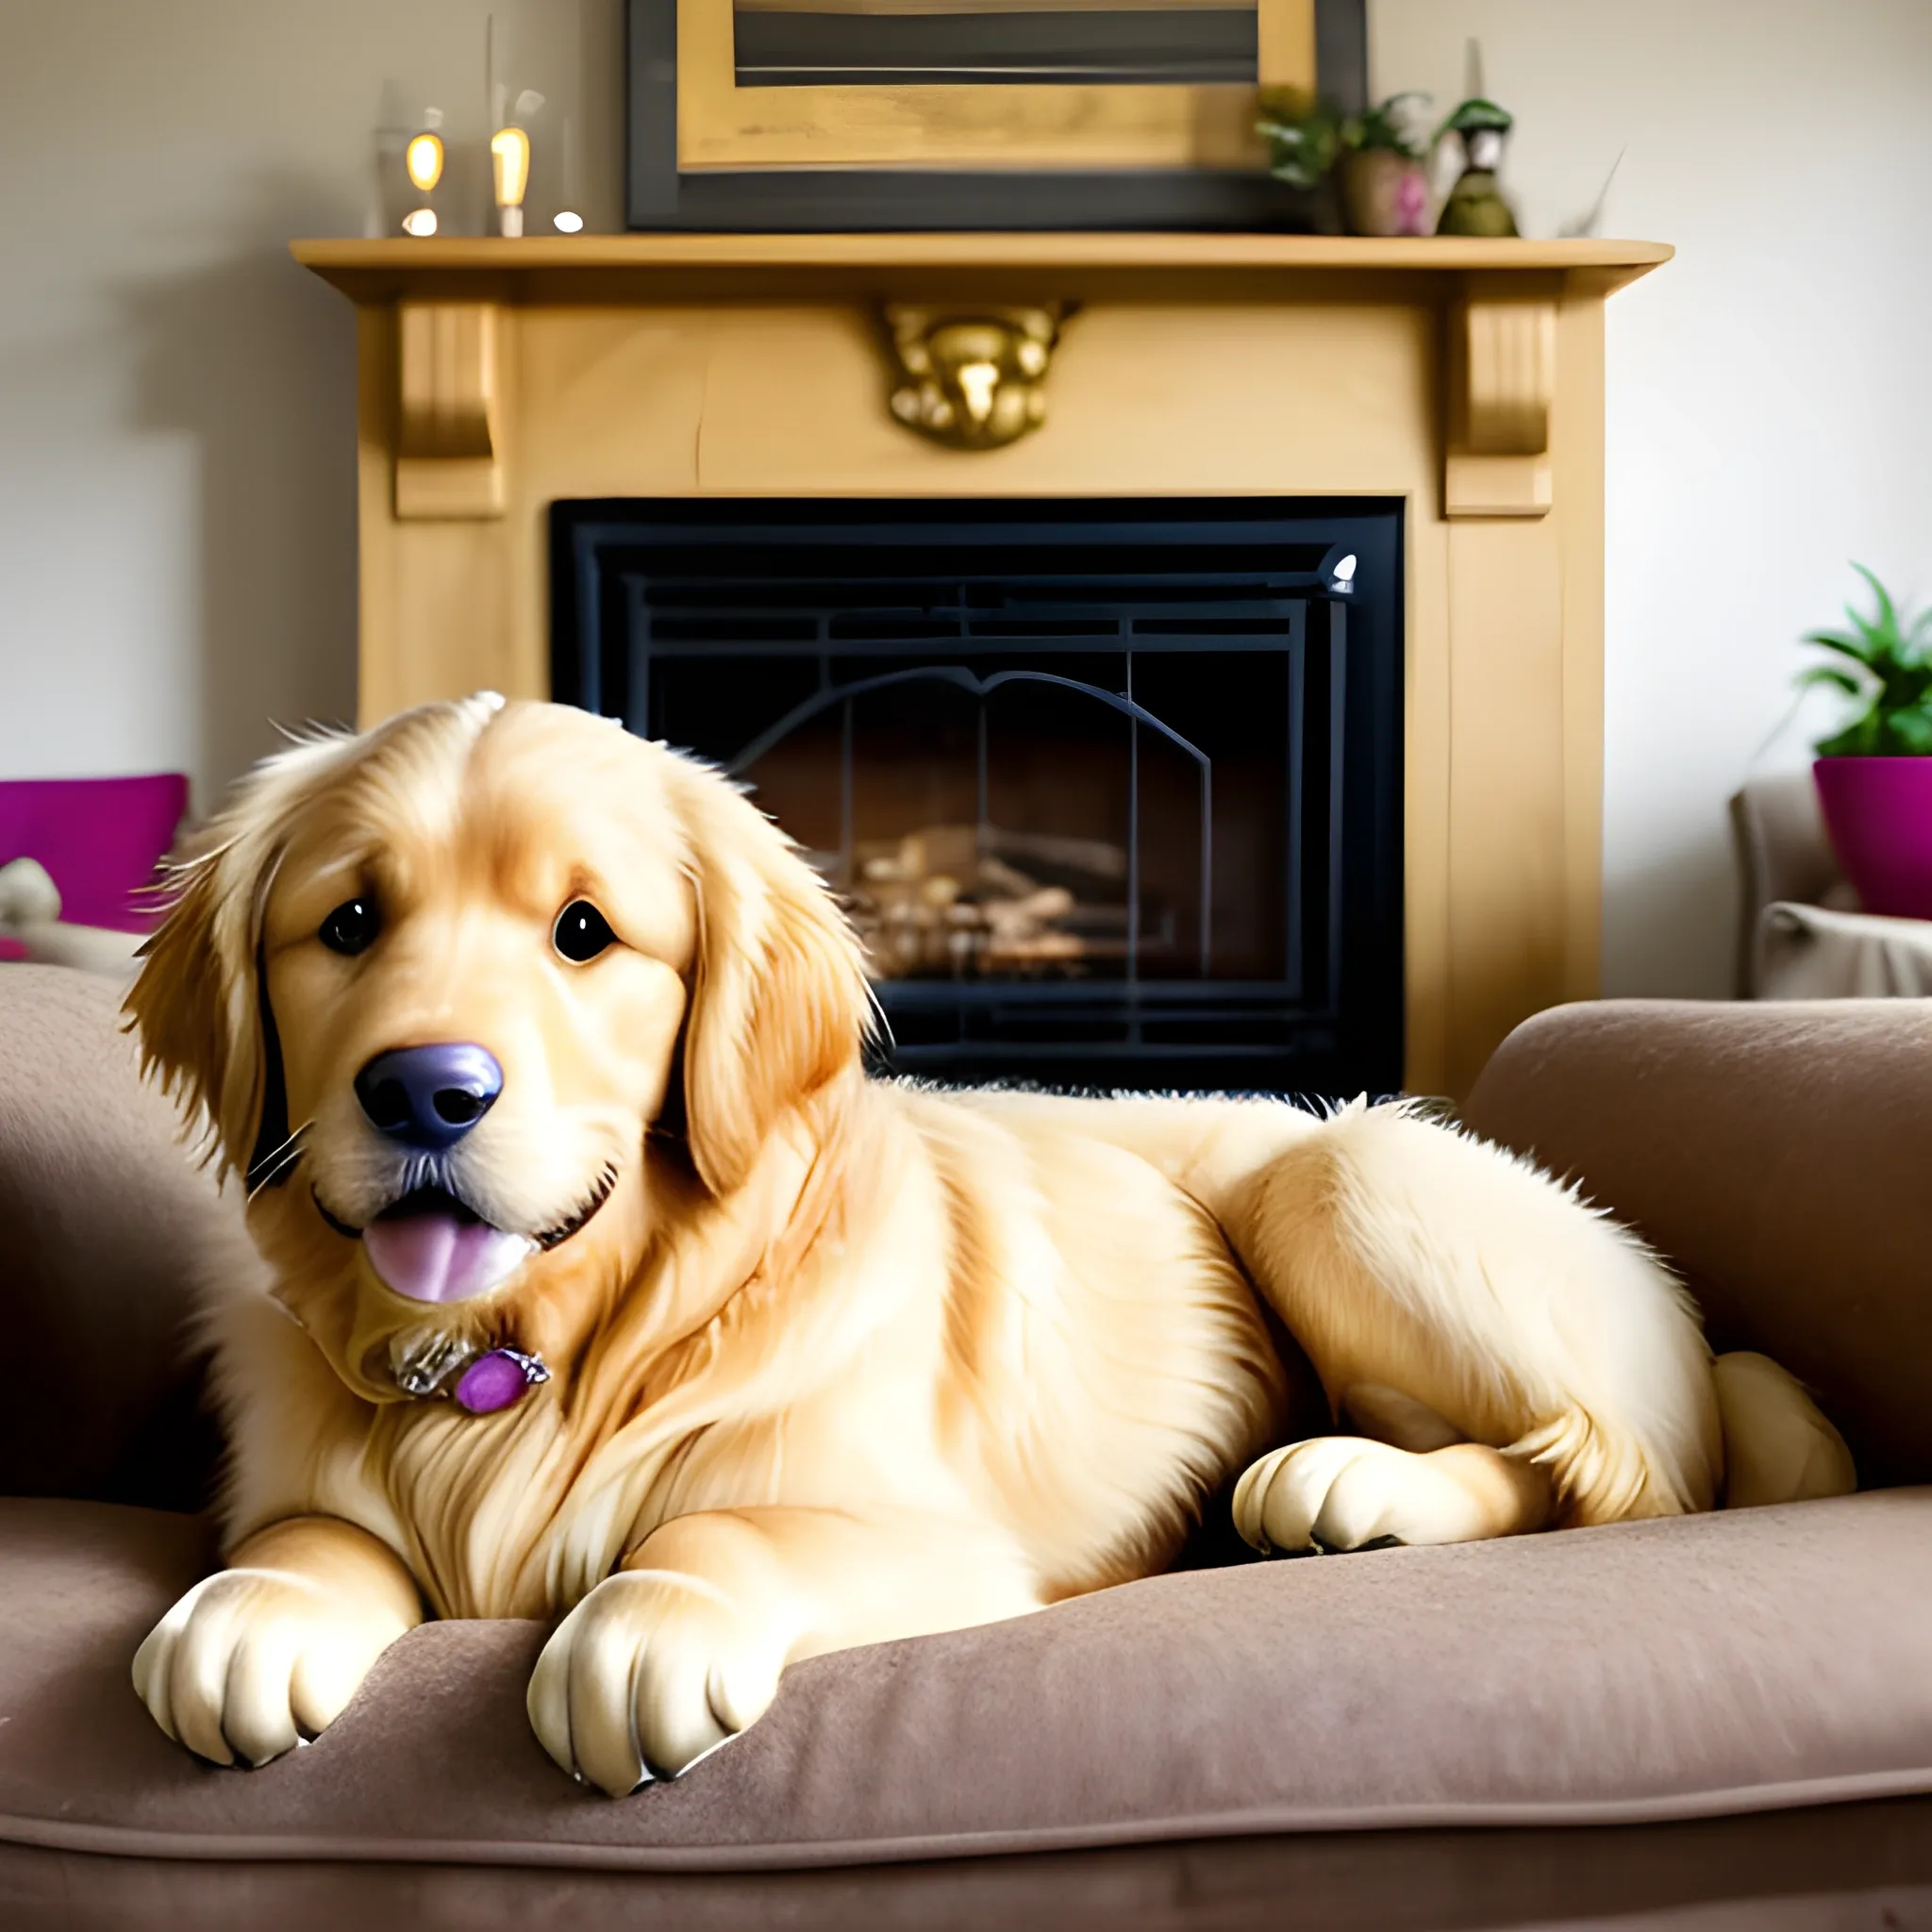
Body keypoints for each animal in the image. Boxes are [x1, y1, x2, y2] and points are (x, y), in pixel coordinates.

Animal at [125, 695, 1855, 1792]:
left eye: (585, 933)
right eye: (350, 924)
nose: (426, 1088)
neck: (550, 1341)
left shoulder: (942, 1538)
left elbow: (725, 1527)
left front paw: (643, 1625)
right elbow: (311, 1529)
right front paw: (251, 1608)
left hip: (1342, 1173)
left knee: (1601, 1470)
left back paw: (1343, 1484)